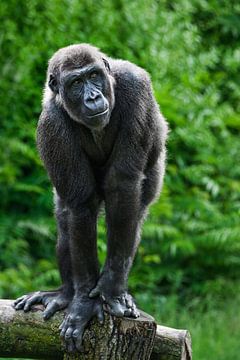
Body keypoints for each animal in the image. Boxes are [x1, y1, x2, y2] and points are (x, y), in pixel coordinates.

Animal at [14, 43, 168, 352]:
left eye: (94, 75)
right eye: (76, 83)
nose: (93, 97)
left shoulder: (137, 87)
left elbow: (122, 186)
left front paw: (111, 289)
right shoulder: (51, 123)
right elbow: (80, 207)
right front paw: (83, 301)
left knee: (134, 213)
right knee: (66, 217)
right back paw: (65, 293)